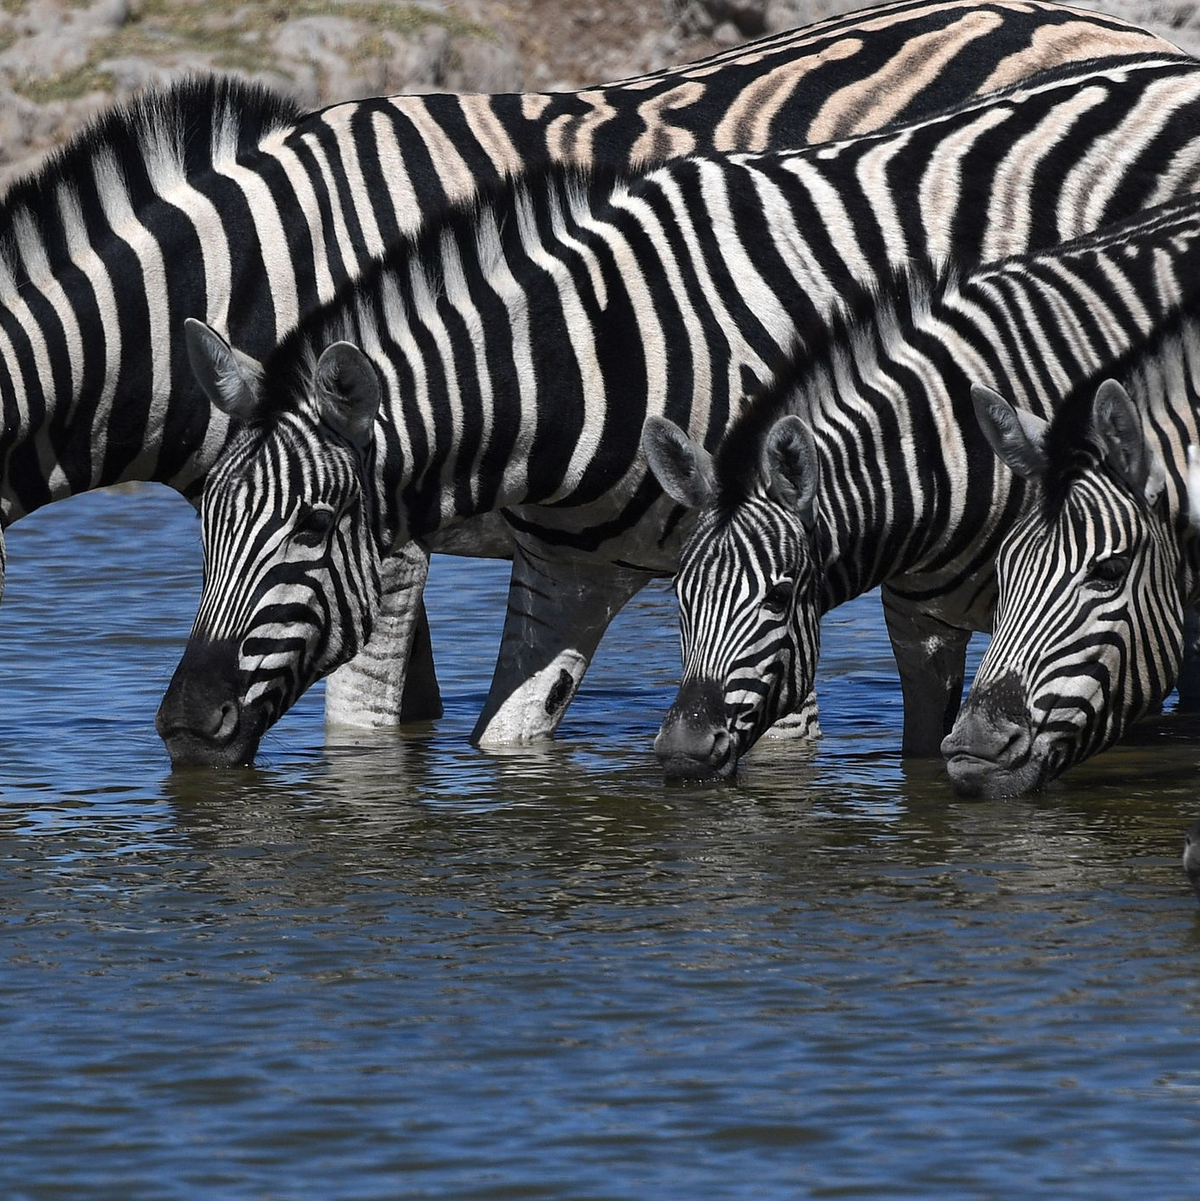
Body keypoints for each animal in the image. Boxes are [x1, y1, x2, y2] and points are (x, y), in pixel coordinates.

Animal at [644, 194, 1200, 780]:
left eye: (777, 597)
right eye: (680, 595)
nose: (682, 751)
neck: (940, 451)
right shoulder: (918, 632)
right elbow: (923, 755)